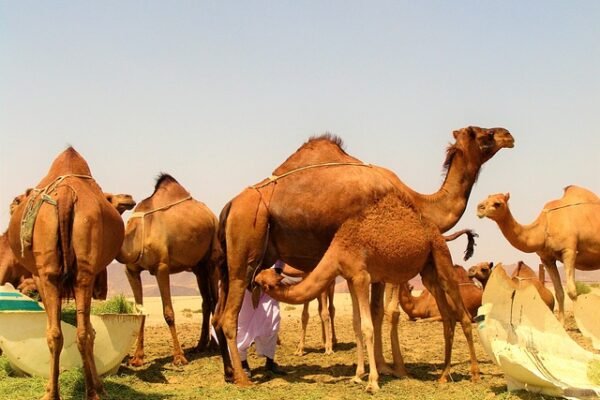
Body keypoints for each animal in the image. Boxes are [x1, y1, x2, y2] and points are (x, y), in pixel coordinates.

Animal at [7, 147, 124, 400]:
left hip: (51, 273)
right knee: (79, 333)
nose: (11, 205)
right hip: (82, 270)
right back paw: (90, 392)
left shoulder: (39, 277)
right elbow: (87, 329)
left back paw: (55, 392)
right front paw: (99, 386)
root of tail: (65, 195)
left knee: (61, 333)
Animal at [116, 173, 221, 368]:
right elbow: (140, 312)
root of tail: (212, 216)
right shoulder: (131, 271)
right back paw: (200, 346)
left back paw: (213, 345)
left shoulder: (162, 268)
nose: (128, 198)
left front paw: (179, 357)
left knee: (215, 299)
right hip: (198, 267)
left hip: (213, 258)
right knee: (206, 301)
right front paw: (137, 358)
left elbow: (169, 313)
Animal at [255, 192, 480, 392]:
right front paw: (357, 376)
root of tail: (436, 231)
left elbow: (367, 326)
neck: (339, 250)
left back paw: (474, 374)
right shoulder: (350, 278)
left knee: (463, 316)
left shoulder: (362, 277)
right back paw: (443, 375)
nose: (253, 282)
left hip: (441, 255)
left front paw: (372, 382)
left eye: (260, 282)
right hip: (428, 270)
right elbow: (356, 325)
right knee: (447, 318)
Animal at [476, 186, 596, 324]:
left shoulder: (569, 250)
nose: (479, 207)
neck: (545, 228)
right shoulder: (546, 258)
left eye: (497, 203)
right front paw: (561, 324)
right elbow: (559, 292)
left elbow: (572, 291)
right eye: (486, 198)